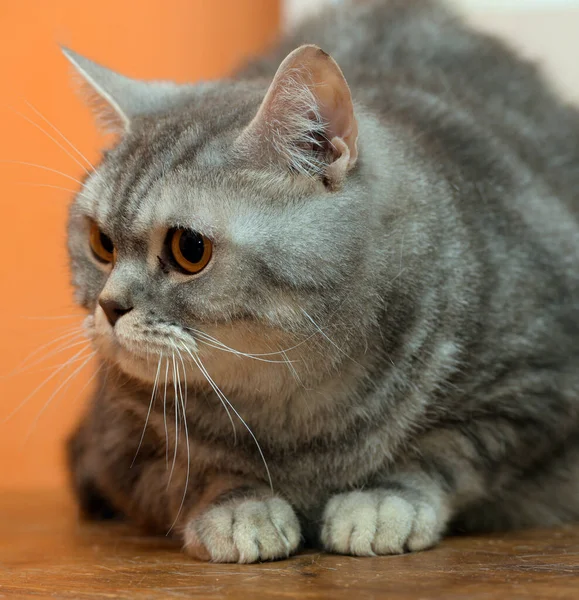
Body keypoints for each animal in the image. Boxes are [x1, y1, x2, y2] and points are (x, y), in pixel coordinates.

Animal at [62, 0, 579, 564]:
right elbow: (194, 471)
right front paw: (239, 507)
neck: (294, 405)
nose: (110, 307)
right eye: (101, 243)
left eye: (189, 250)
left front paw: (382, 502)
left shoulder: (534, 388)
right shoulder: (119, 441)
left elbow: (444, 453)